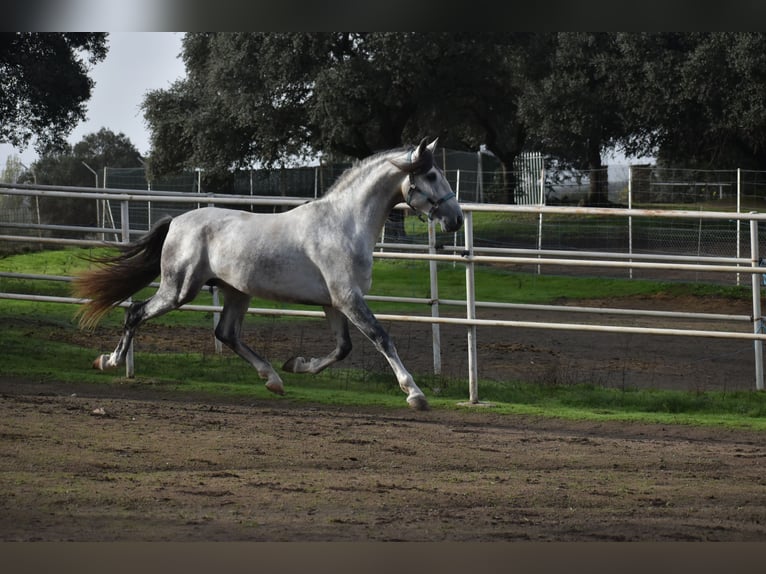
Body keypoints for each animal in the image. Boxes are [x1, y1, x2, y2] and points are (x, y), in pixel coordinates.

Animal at [75, 138, 464, 410]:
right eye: (431, 175)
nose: (456, 220)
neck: (344, 224)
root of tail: (177, 222)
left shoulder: (334, 303)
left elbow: (343, 348)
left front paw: (296, 364)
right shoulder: (348, 298)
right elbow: (381, 338)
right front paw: (415, 394)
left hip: (236, 291)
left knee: (226, 333)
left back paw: (274, 378)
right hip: (179, 289)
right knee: (135, 312)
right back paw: (109, 361)